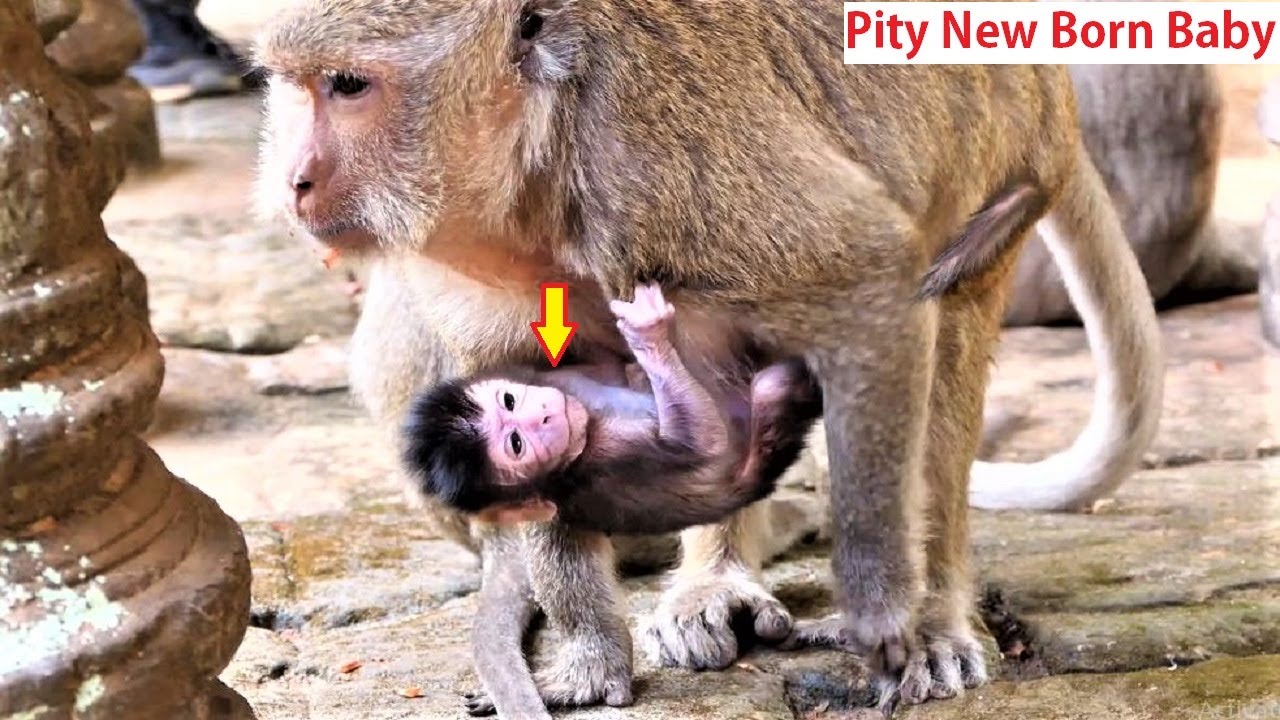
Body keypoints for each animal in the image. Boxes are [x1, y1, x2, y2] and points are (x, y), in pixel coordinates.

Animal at [254, 1, 1164, 714]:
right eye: (294, 86)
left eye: (348, 86)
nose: (295, 179)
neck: (541, 158)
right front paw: (590, 656)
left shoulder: (663, 166)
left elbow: (874, 279)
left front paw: (883, 614)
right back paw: (716, 578)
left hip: (1003, 164)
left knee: (936, 328)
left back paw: (931, 606)